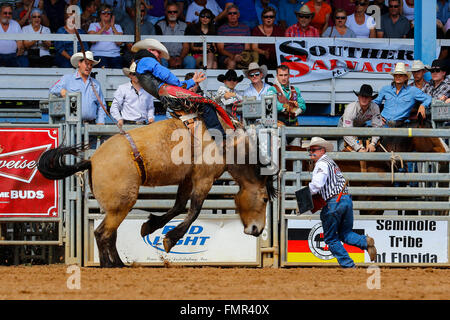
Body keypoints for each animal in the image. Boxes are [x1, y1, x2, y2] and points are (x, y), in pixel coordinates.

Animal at [37, 117, 278, 268]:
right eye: (265, 198)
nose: (258, 230)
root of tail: (92, 160)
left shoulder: (187, 178)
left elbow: (179, 206)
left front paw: (150, 225)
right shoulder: (204, 178)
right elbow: (194, 210)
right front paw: (170, 238)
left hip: (115, 208)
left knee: (109, 234)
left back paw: (119, 264)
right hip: (121, 205)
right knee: (102, 233)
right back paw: (108, 265)